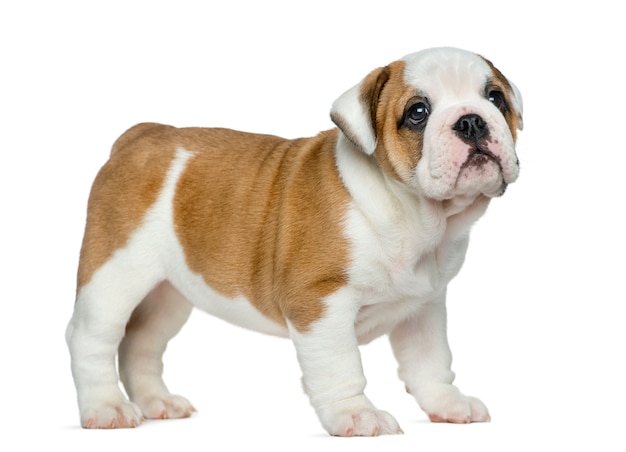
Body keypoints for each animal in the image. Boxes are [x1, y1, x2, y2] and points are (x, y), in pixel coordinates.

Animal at [64, 47, 520, 436]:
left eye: (495, 98)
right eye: (418, 113)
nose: (471, 120)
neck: (417, 215)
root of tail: (141, 136)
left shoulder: (423, 306)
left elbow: (430, 361)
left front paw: (448, 404)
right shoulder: (320, 301)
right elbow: (341, 367)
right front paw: (357, 415)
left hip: (167, 293)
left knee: (141, 342)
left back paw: (157, 402)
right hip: (115, 274)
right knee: (92, 338)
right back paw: (106, 408)